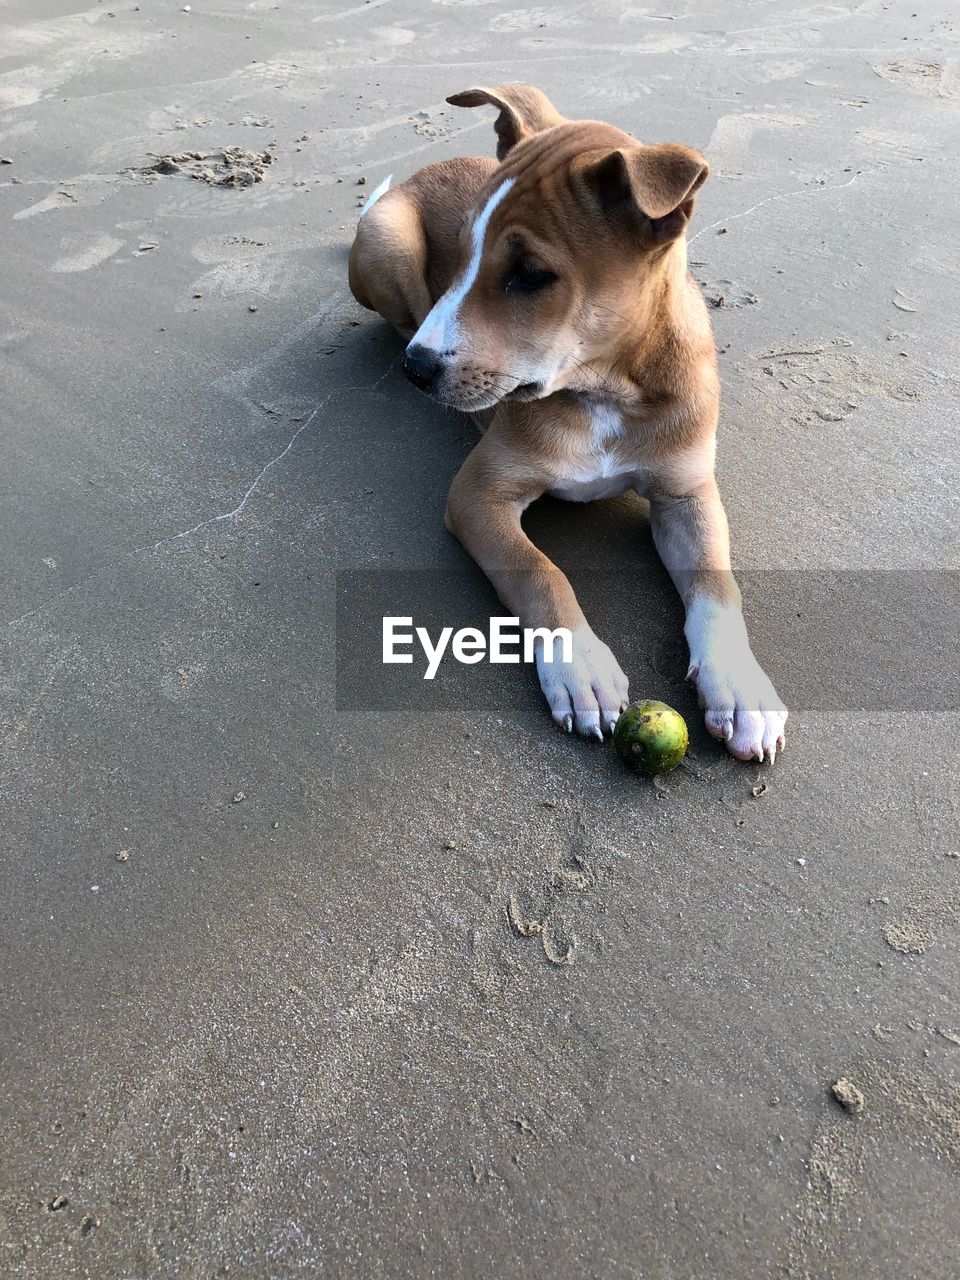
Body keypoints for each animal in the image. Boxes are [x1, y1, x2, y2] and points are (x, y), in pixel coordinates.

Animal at [348, 85, 788, 762]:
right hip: (387, 242)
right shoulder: (477, 495)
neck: (606, 388)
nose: (416, 370)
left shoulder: (688, 493)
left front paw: (739, 682)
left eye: (531, 274)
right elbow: (540, 572)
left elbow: (717, 584)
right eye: (463, 252)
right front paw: (578, 663)